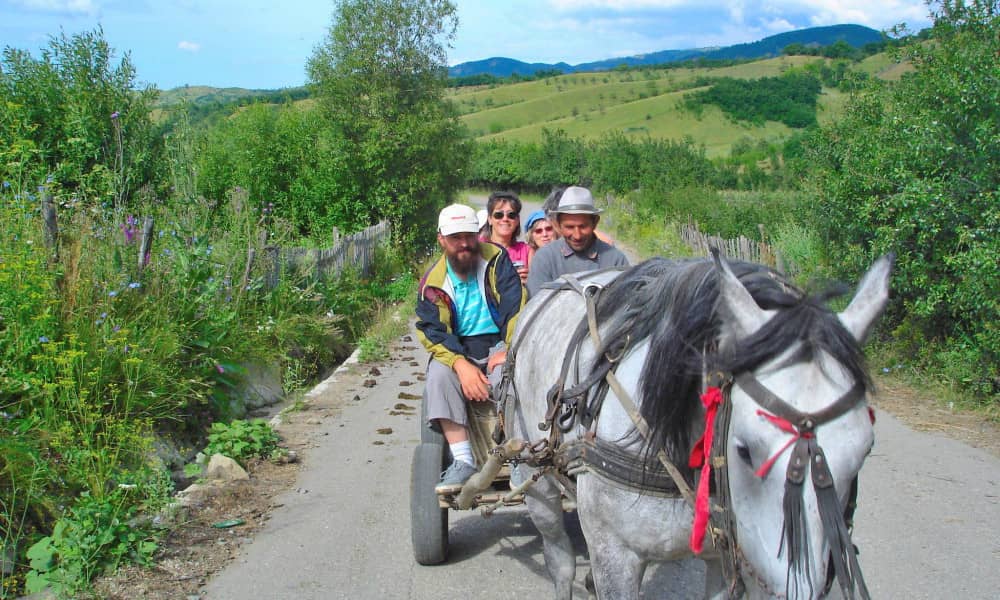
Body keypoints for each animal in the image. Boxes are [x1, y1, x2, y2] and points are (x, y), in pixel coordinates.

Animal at [504, 254, 896, 600]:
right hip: (536, 479)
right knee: (560, 560)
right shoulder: (613, 555)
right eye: (745, 450)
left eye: (865, 450)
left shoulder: (725, 557)